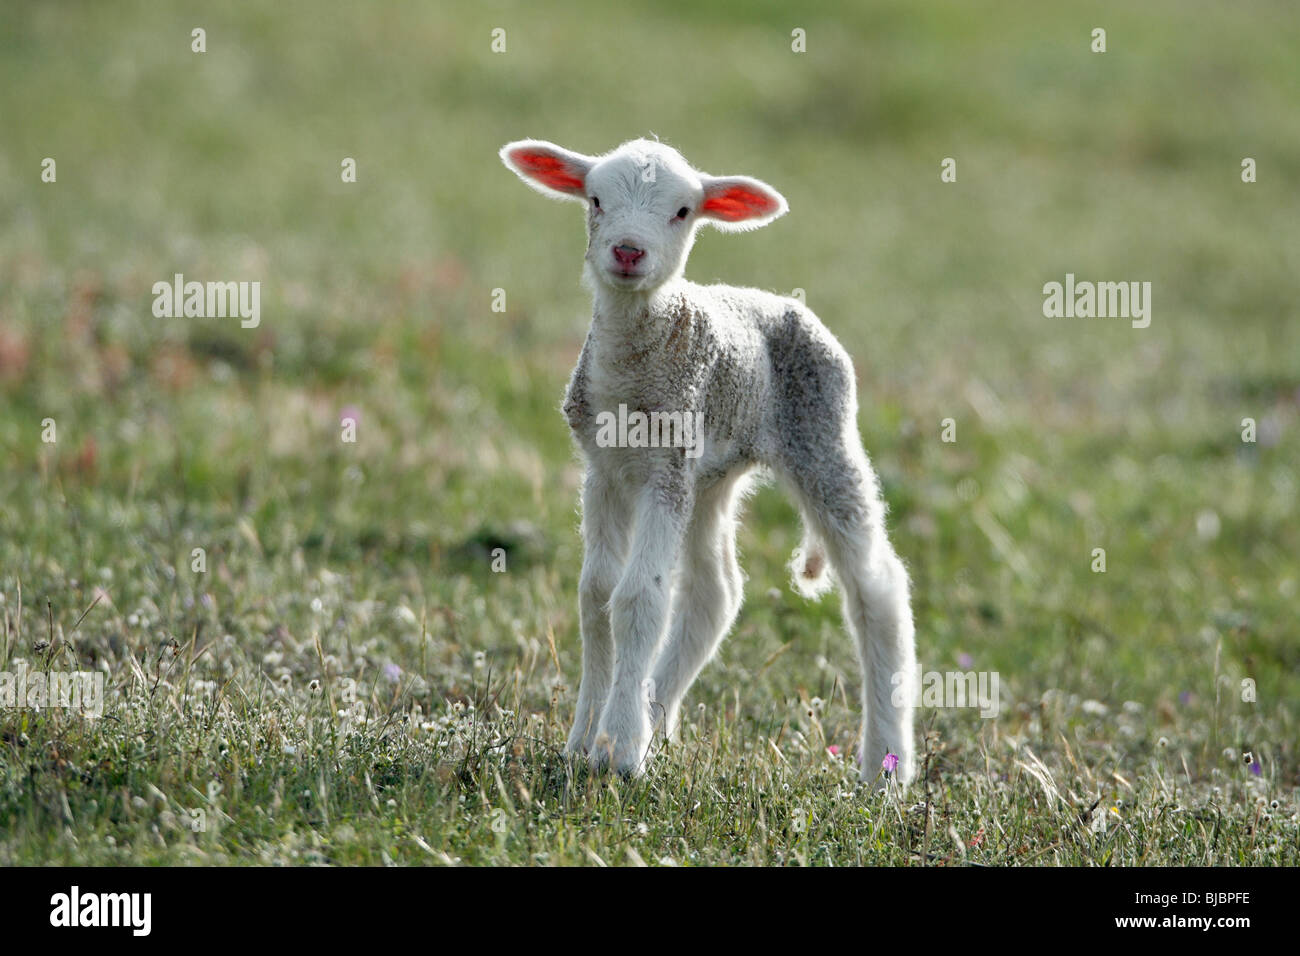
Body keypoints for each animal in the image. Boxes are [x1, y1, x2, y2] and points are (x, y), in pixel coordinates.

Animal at [501, 140, 920, 785]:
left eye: (682, 211)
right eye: (595, 199)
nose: (629, 250)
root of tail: (782, 304)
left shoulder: (665, 469)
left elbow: (639, 598)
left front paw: (617, 752)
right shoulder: (606, 470)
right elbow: (596, 594)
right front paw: (584, 741)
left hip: (821, 435)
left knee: (879, 588)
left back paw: (885, 769)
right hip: (713, 474)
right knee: (716, 590)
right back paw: (657, 712)